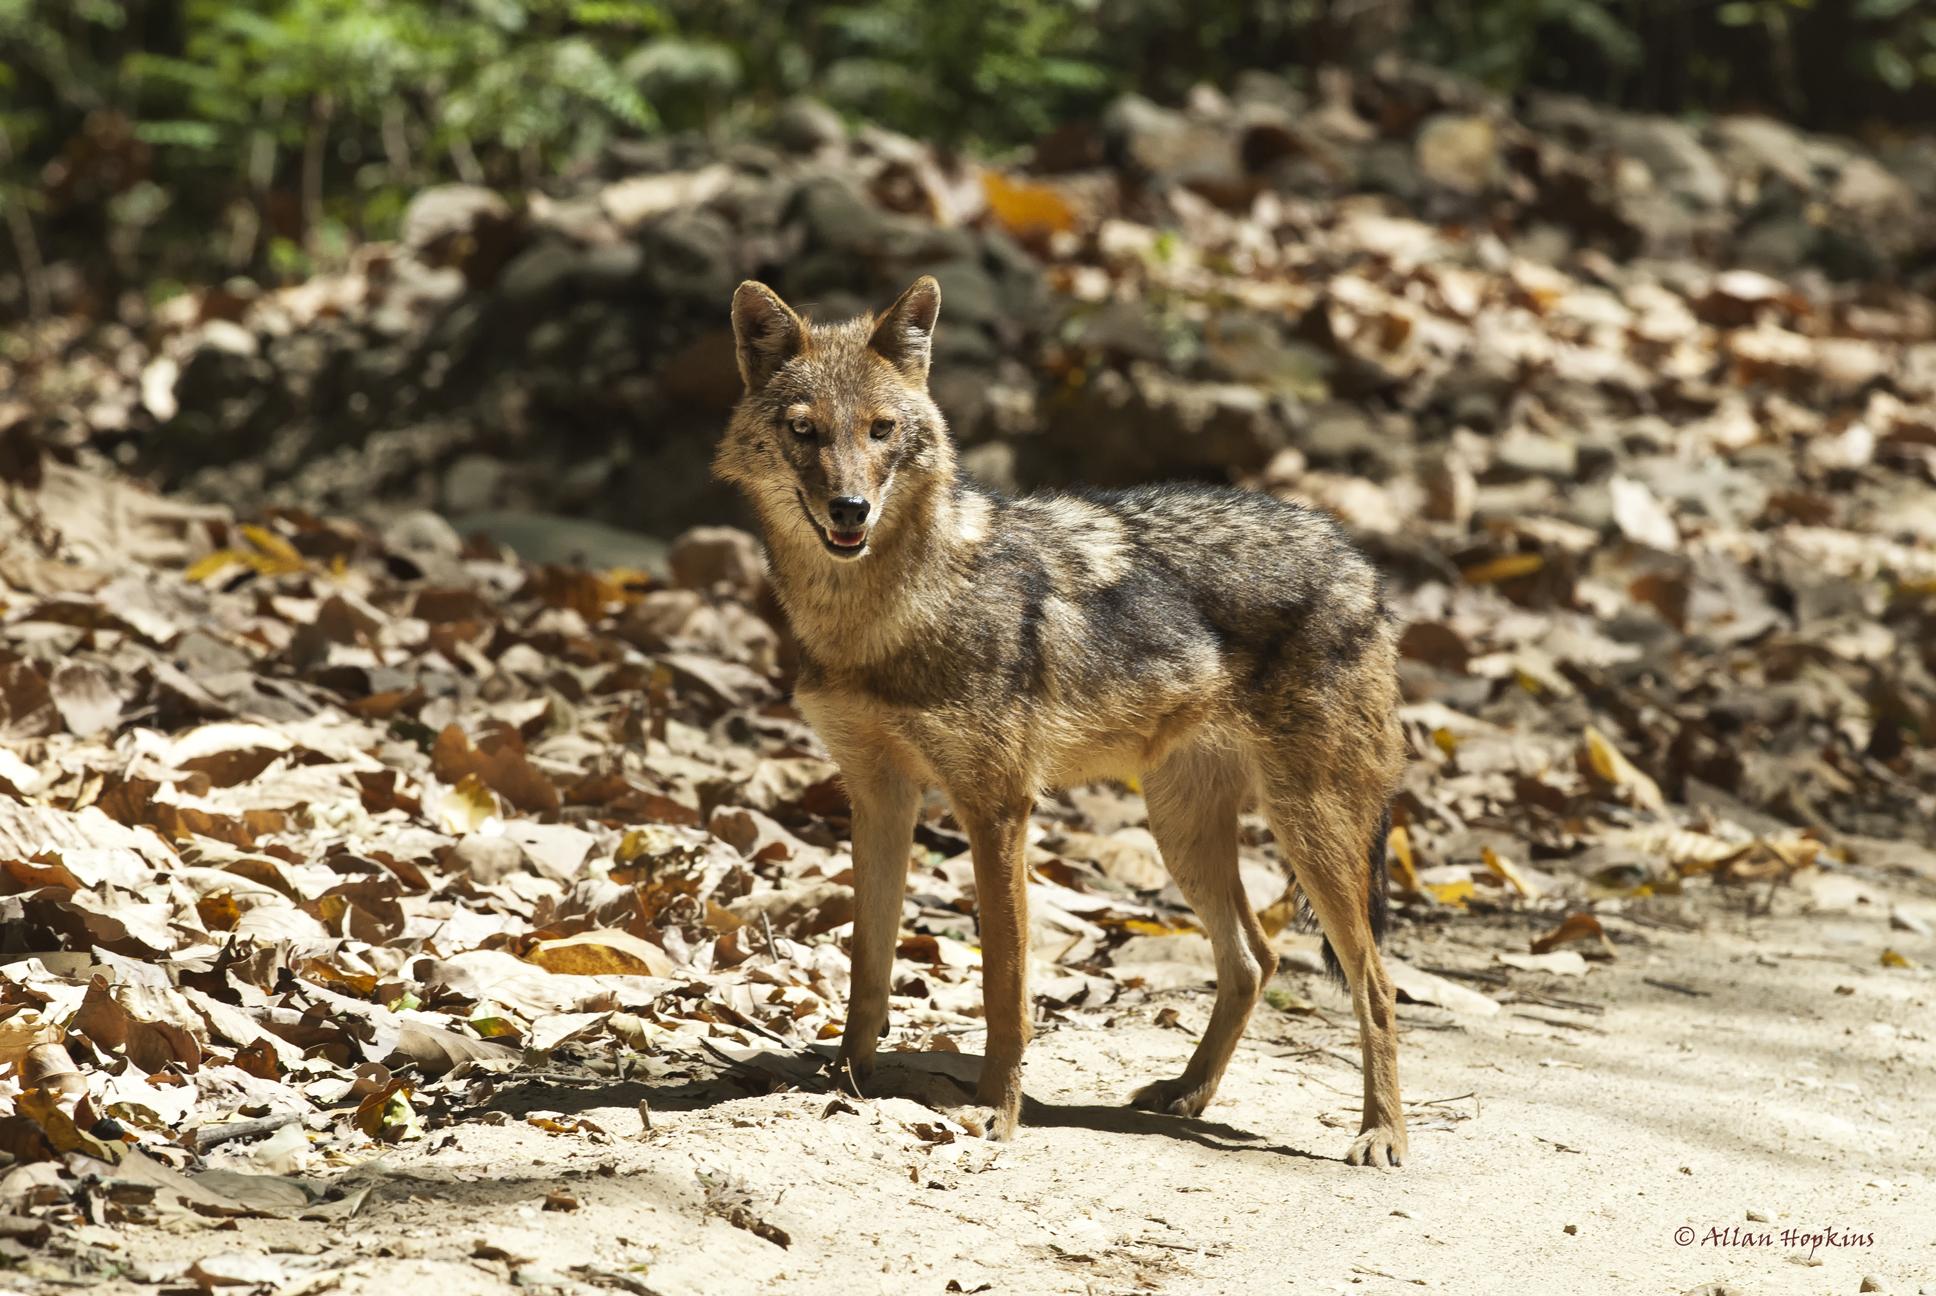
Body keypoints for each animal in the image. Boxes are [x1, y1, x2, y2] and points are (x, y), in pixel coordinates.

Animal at [714, 276, 1409, 1166]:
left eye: (881, 430)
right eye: (804, 431)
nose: (850, 510)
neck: (879, 621)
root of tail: (1362, 565)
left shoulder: (998, 808)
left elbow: (1004, 986)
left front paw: (994, 1111)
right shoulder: (878, 796)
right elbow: (868, 966)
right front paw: (846, 1081)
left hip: (1308, 831)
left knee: (1375, 984)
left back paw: (1381, 1133)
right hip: (1183, 833)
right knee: (1256, 958)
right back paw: (1185, 1093)